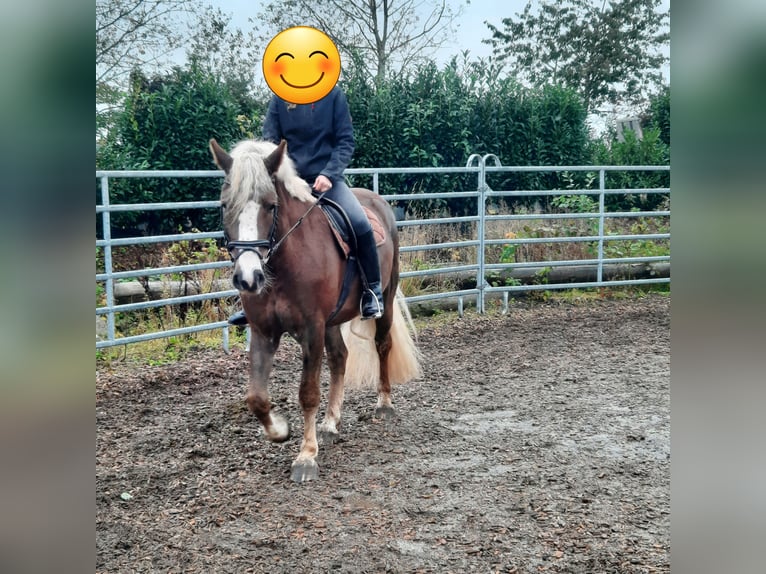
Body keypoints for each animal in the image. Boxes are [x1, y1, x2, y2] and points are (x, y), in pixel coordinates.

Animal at [210, 138, 424, 482]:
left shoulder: (312, 329)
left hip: (386, 299)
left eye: (270, 205)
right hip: (332, 321)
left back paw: (384, 404)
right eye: (225, 205)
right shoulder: (264, 331)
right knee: (340, 358)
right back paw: (330, 424)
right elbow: (256, 398)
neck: (284, 264)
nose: (248, 277)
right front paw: (280, 430)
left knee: (383, 345)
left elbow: (308, 392)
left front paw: (306, 456)